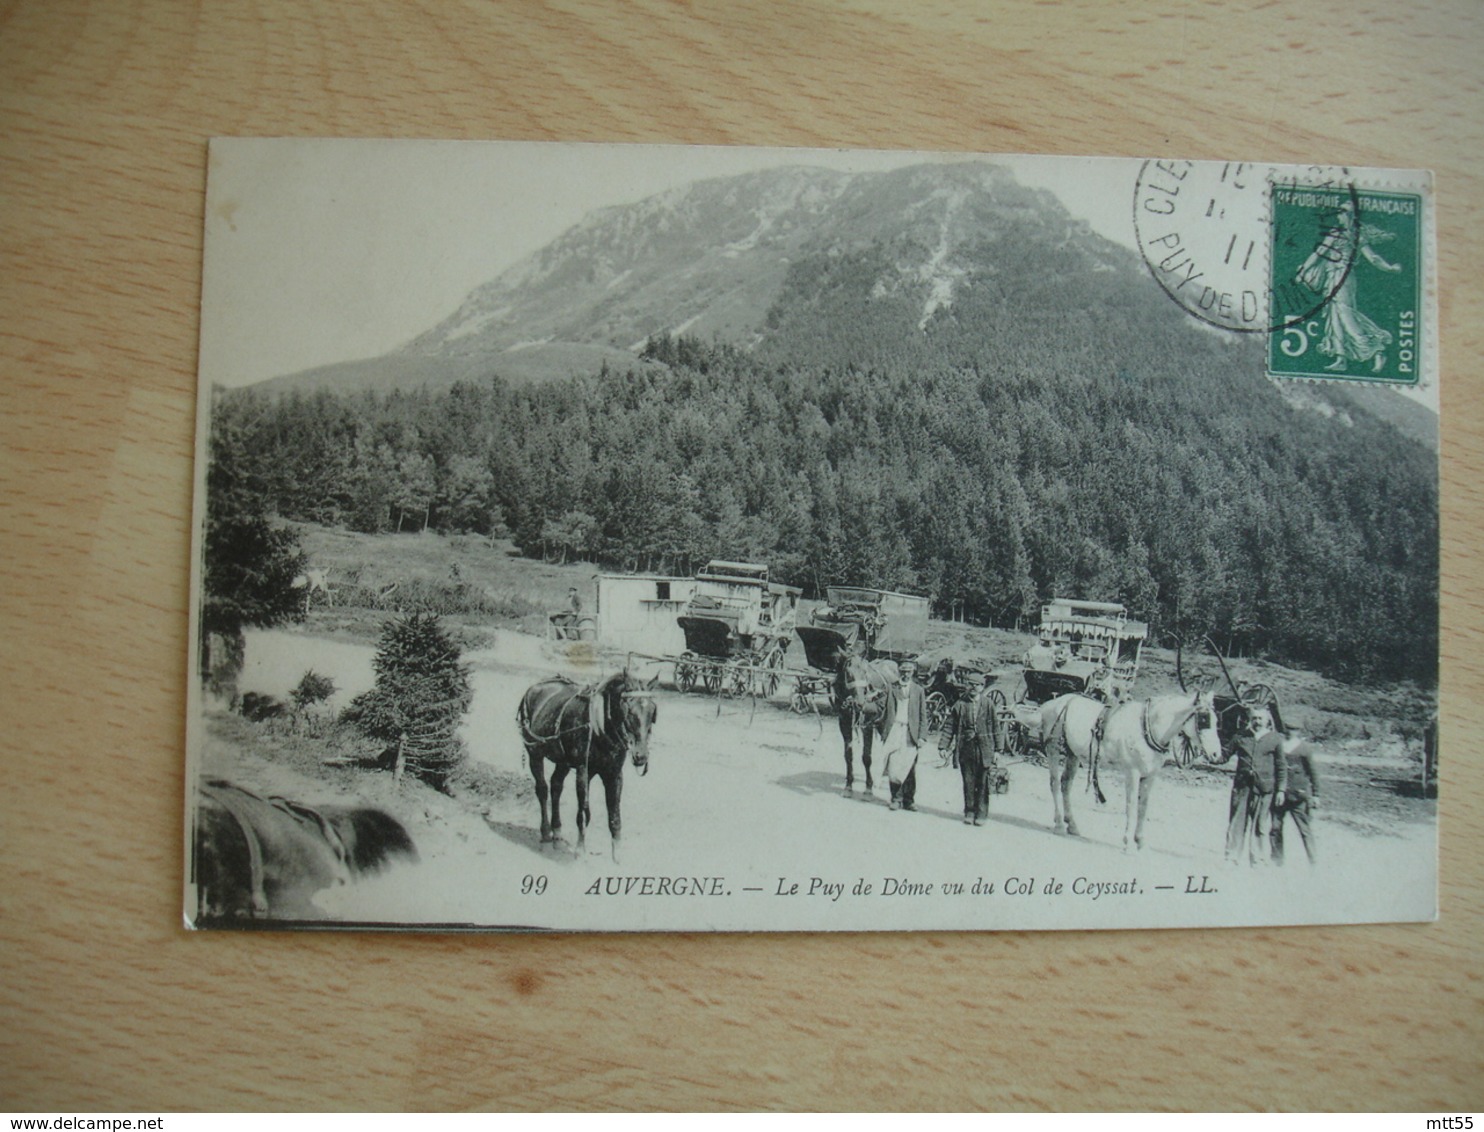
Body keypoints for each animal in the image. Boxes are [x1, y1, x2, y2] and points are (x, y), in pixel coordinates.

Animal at [522, 667, 661, 860]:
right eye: (629, 710)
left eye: (652, 712)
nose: (641, 756)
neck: (600, 727)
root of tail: (534, 688)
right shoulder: (583, 771)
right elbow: (584, 812)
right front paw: (580, 849)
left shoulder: (614, 774)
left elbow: (614, 815)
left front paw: (617, 855)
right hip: (534, 753)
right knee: (542, 789)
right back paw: (546, 832)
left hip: (563, 762)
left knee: (556, 786)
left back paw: (557, 832)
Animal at [831, 649, 896, 801]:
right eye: (848, 673)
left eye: (865, 672)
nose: (860, 703)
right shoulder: (844, 724)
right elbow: (848, 755)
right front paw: (848, 786)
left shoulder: (867, 726)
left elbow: (866, 757)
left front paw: (868, 789)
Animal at [1038, 691, 1222, 848]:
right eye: (1204, 719)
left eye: (1216, 721)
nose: (1216, 754)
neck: (1147, 728)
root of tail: (1053, 702)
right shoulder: (1133, 773)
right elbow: (1131, 806)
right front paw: (1128, 843)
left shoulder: (1149, 776)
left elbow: (1142, 807)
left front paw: (1140, 841)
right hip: (1054, 748)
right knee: (1055, 784)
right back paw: (1059, 824)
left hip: (1073, 754)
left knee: (1066, 784)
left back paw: (1072, 825)